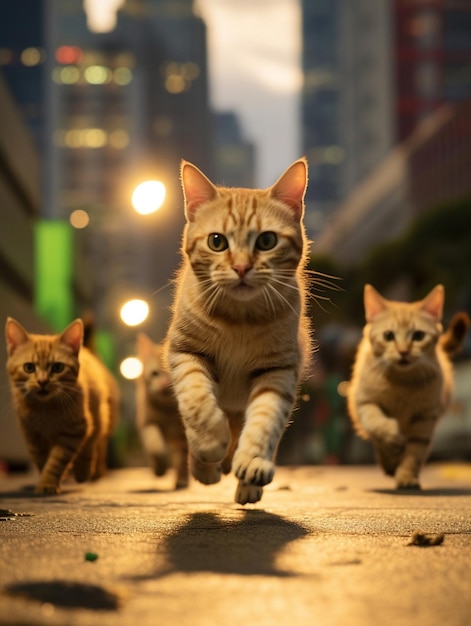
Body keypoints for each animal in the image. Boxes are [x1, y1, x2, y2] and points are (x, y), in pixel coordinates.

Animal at [5, 316, 120, 492]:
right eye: (29, 367)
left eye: (58, 367)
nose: (42, 381)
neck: (46, 409)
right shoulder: (33, 437)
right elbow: (43, 461)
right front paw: (47, 479)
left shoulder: (73, 432)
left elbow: (57, 461)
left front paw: (48, 483)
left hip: (100, 418)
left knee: (95, 444)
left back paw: (87, 471)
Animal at [136, 332, 189, 488]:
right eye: (155, 374)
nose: (165, 384)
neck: (168, 412)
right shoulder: (147, 424)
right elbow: (155, 447)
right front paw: (159, 469)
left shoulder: (185, 437)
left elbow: (182, 458)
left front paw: (182, 479)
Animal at [164, 158, 312, 504]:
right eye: (217, 242)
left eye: (267, 241)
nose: (242, 267)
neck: (239, 321)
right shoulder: (185, 352)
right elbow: (196, 401)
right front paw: (208, 444)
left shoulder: (279, 370)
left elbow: (266, 420)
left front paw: (253, 461)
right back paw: (205, 466)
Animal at [348, 284, 470, 488]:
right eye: (388, 336)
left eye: (419, 336)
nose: (403, 351)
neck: (401, 383)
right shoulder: (365, 403)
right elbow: (378, 425)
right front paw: (391, 442)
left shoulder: (425, 419)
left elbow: (414, 453)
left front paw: (406, 476)